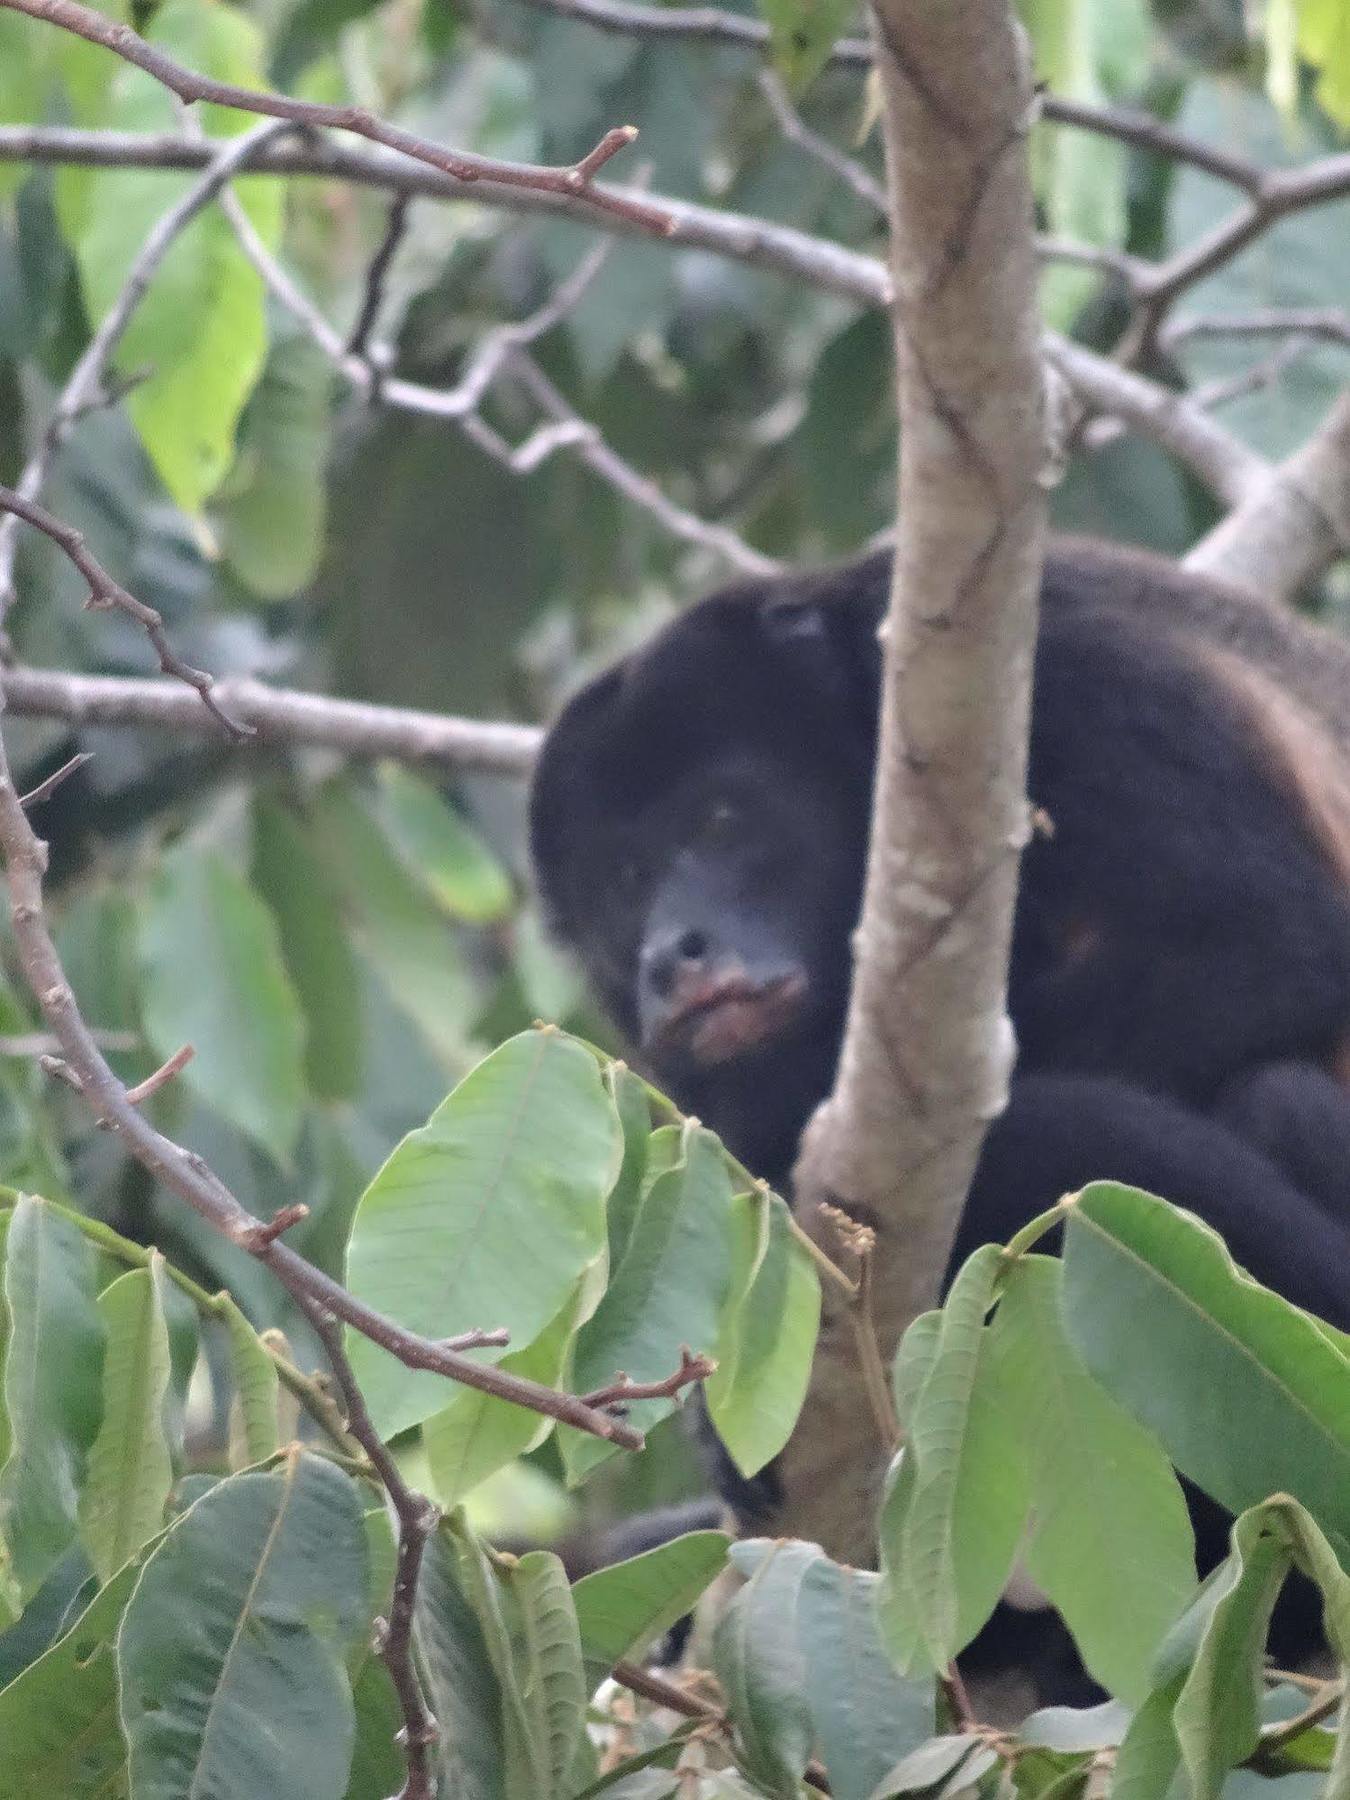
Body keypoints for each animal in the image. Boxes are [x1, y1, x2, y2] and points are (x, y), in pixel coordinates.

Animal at [532, 540, 1350, 1692]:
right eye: (626, 878)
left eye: (722, 822)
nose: (670, 955)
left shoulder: (1080, 676)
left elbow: (1267, 942)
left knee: (1270, 1095)